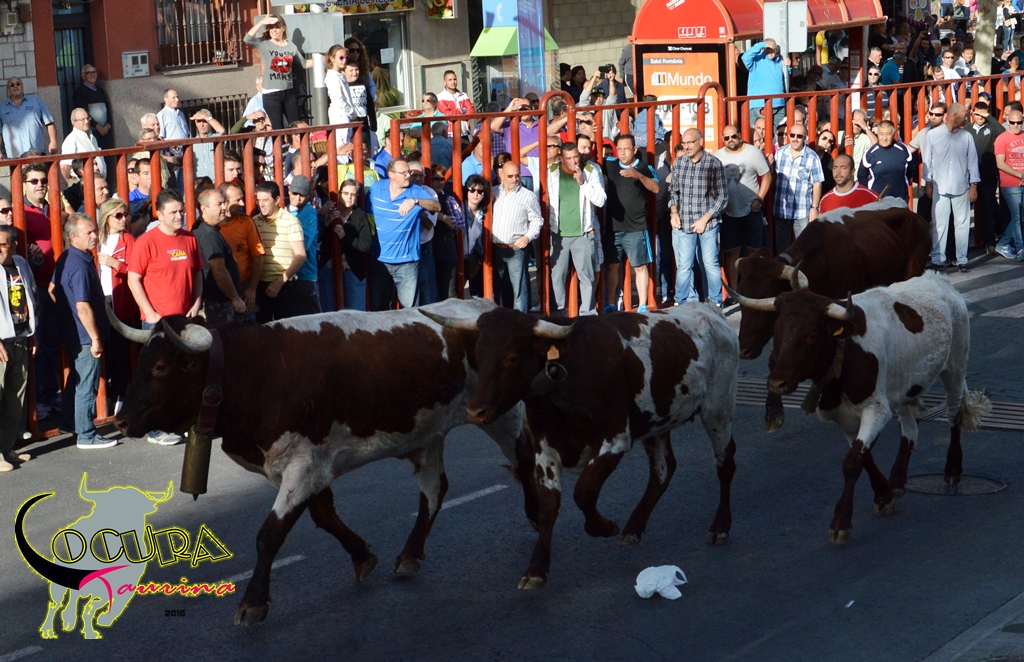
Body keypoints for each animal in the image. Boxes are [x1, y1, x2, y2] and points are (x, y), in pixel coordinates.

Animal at [110, 298, 529, 627]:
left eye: (161, 368)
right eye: (141, 361)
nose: (121, 421)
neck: (258, 371)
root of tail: (484, 307)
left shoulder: (303, 466)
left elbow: (269, 535)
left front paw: (252, 602)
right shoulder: (301, 467)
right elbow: (324, 517)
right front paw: (362, 556)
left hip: (504, 417)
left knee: (524, 462)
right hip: (428, 437)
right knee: (434, 491)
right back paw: (410, 555)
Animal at [423, 302, 739, 590]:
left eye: (512, 357)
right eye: (478, 355)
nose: (475, 411)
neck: (564, 376)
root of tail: (710, 310)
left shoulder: (614, 439)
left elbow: (584, 492)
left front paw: (603, 527)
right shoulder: (545, 448)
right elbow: (548, 507)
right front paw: (536, 569)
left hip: (718, 410)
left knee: (725, 464)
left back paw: (720, 527)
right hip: (658, 421)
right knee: (663, 471)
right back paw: (633, 529)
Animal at [730, 272, 990, 544]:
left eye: (811, 335)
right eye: (778, 331)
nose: (776, 382)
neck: (844, 356)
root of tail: (938, 278)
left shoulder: (876, 409)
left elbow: (853, 462)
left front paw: (841, 522)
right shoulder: (843, 416)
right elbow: (863, 457)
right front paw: (884, 494)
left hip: (955, 366)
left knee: (954, 414)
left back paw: (952, 468)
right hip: (903, 386)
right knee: (910, 428)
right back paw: (897, 480)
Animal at [734, 199, 930, 432]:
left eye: (766, 296)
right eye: (742, 297)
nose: (744, 350)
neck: (822, 261)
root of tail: (913, 214)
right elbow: (775, 358)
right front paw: (773, 412)